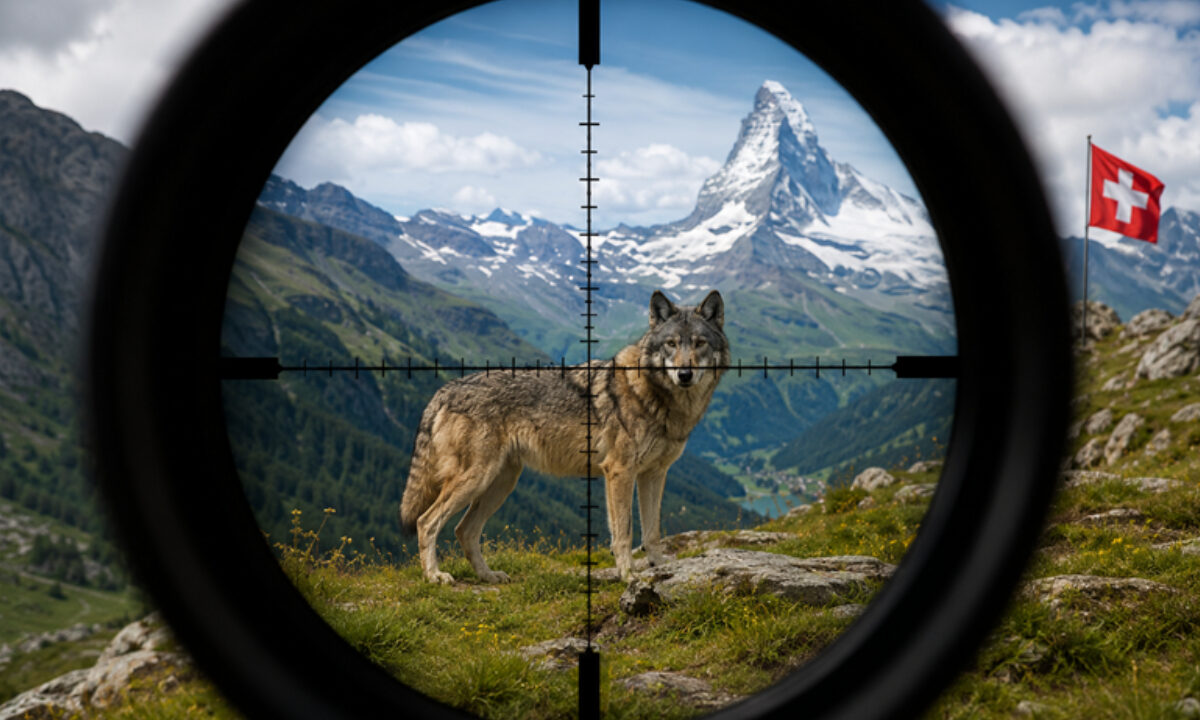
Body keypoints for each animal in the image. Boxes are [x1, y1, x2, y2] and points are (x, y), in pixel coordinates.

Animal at [399, 290, 729, 584]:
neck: (657, 396)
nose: (684, 374)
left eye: (699, 343)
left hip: (500, 484)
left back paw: (488, 576)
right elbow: (623, 532)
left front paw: (660, 568)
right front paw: (628, 575)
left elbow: (653, 532)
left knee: (464, 531)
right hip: (477, 479)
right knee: (426, 522)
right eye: (671, 344)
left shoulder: (654, 474)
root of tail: (444, 390)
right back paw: (435, 576)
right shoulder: (619, 472)